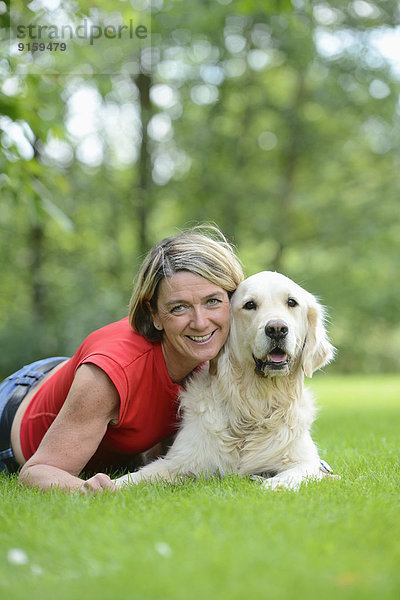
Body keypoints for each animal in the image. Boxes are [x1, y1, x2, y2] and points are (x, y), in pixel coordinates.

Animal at [114, 272, 336, 492]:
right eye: (249, 305)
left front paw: (276, 483)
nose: (277, 329)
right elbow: (133, 478)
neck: (255, 406)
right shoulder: (178, 461)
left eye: (291, 302)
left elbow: (299, 471)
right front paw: (109, 486)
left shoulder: (305, 460)